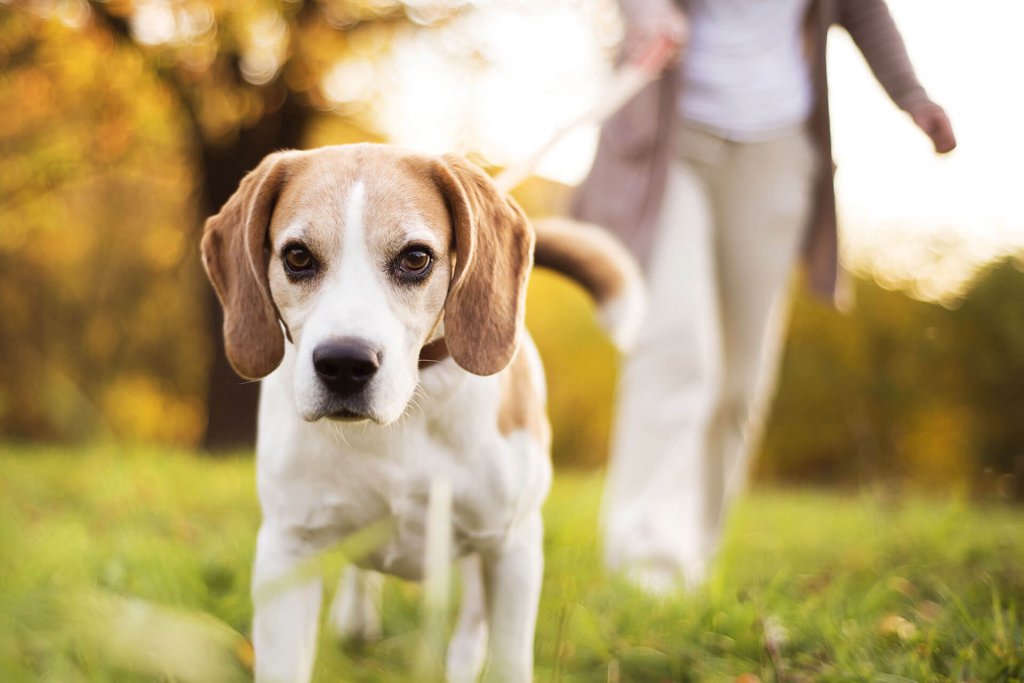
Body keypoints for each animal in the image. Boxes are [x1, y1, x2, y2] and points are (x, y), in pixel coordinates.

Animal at [201, 145, 638, 683]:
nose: (344, 364)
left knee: (472, 623)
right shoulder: (288, 549)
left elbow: (508, 659)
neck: (404, 416)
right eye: (297, 256)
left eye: (415, 258)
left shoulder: (512, 548)